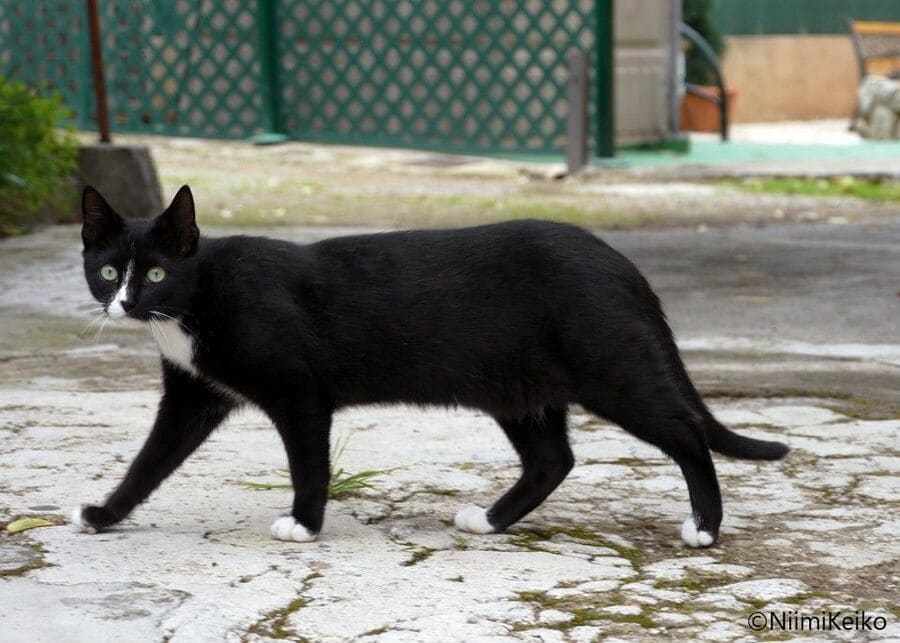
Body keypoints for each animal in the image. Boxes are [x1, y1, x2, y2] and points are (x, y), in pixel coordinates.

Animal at [71, 185, 788, 548]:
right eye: (107, 271)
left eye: (156, 273)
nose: (125, 301)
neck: (197, 300)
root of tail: (620, 262)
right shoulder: (192, 397)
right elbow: (148, 461)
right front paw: (106, 514)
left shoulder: (300, 393)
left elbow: (308, 462)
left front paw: (304, 523)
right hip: (519, 389)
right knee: (553, 458)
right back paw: (489, 521)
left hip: (613, 369)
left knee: (686, 434)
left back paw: (705, 526)